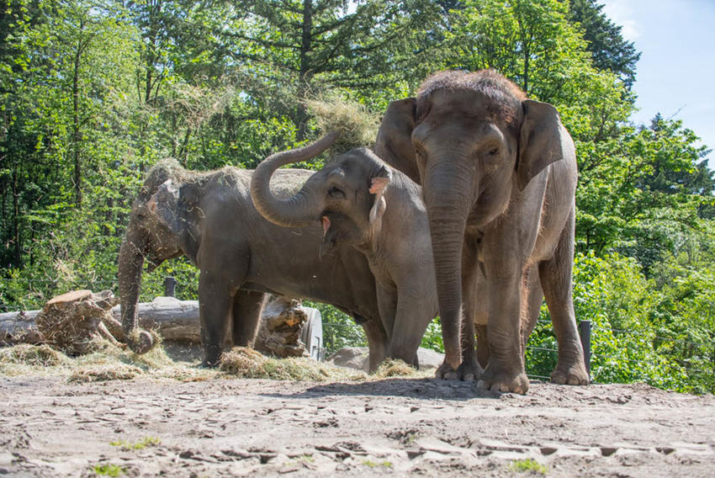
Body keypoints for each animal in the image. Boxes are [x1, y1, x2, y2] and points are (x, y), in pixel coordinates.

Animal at [117, 157, 392, 370]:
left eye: (140, 216)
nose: (146, 338)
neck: (197, 181)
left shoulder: (223, 236)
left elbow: (213, 290)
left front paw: (208, 365)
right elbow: (249, 301)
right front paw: (242, 356)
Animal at [374, 70, 588, 392]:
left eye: (492, 151)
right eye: (418, 150)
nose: (445, 364)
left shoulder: (528, 185)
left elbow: (504, 259)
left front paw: (501, 387)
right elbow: (464, 265)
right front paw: (458, 376)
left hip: (567, 206)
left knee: (555, 280)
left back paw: (569, 379)